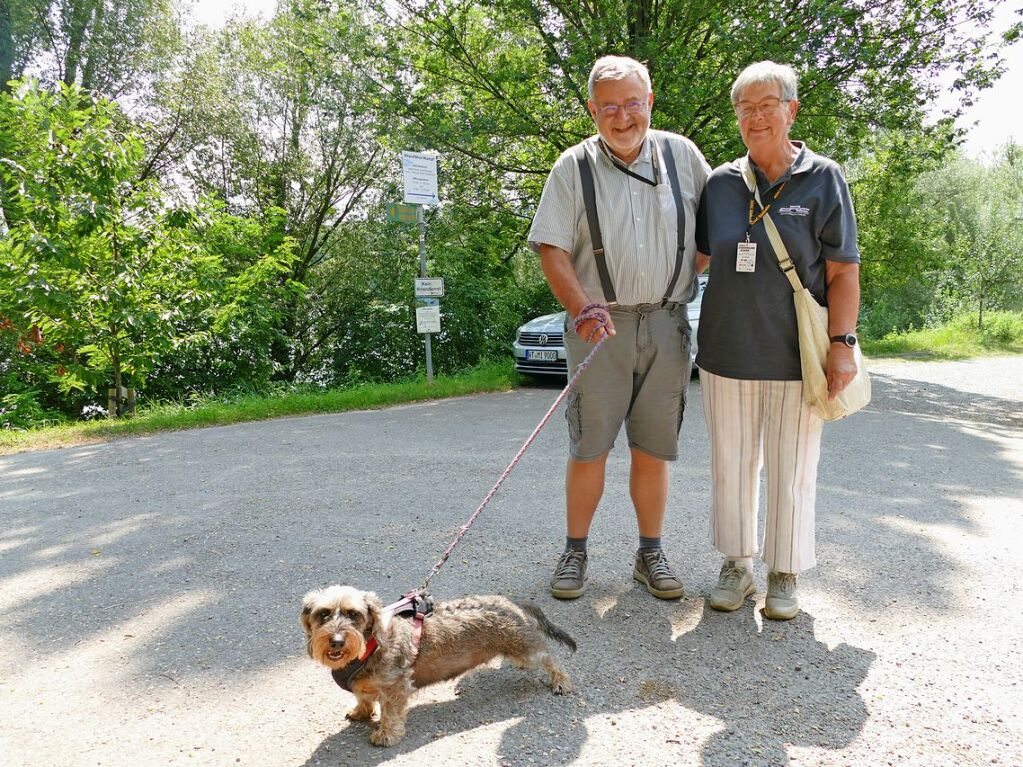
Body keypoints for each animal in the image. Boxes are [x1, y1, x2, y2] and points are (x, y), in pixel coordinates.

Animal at [300, 589, 576, 744]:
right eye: (323, 614)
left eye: (353, 614)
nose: (337, 641)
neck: (369, 645)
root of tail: (511, 602)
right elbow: (363, 698)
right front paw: (361, 712)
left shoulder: (395, 689)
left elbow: (391, 715)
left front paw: (386, 736)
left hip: (526, 651)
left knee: (550, 657)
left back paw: (561, 681)